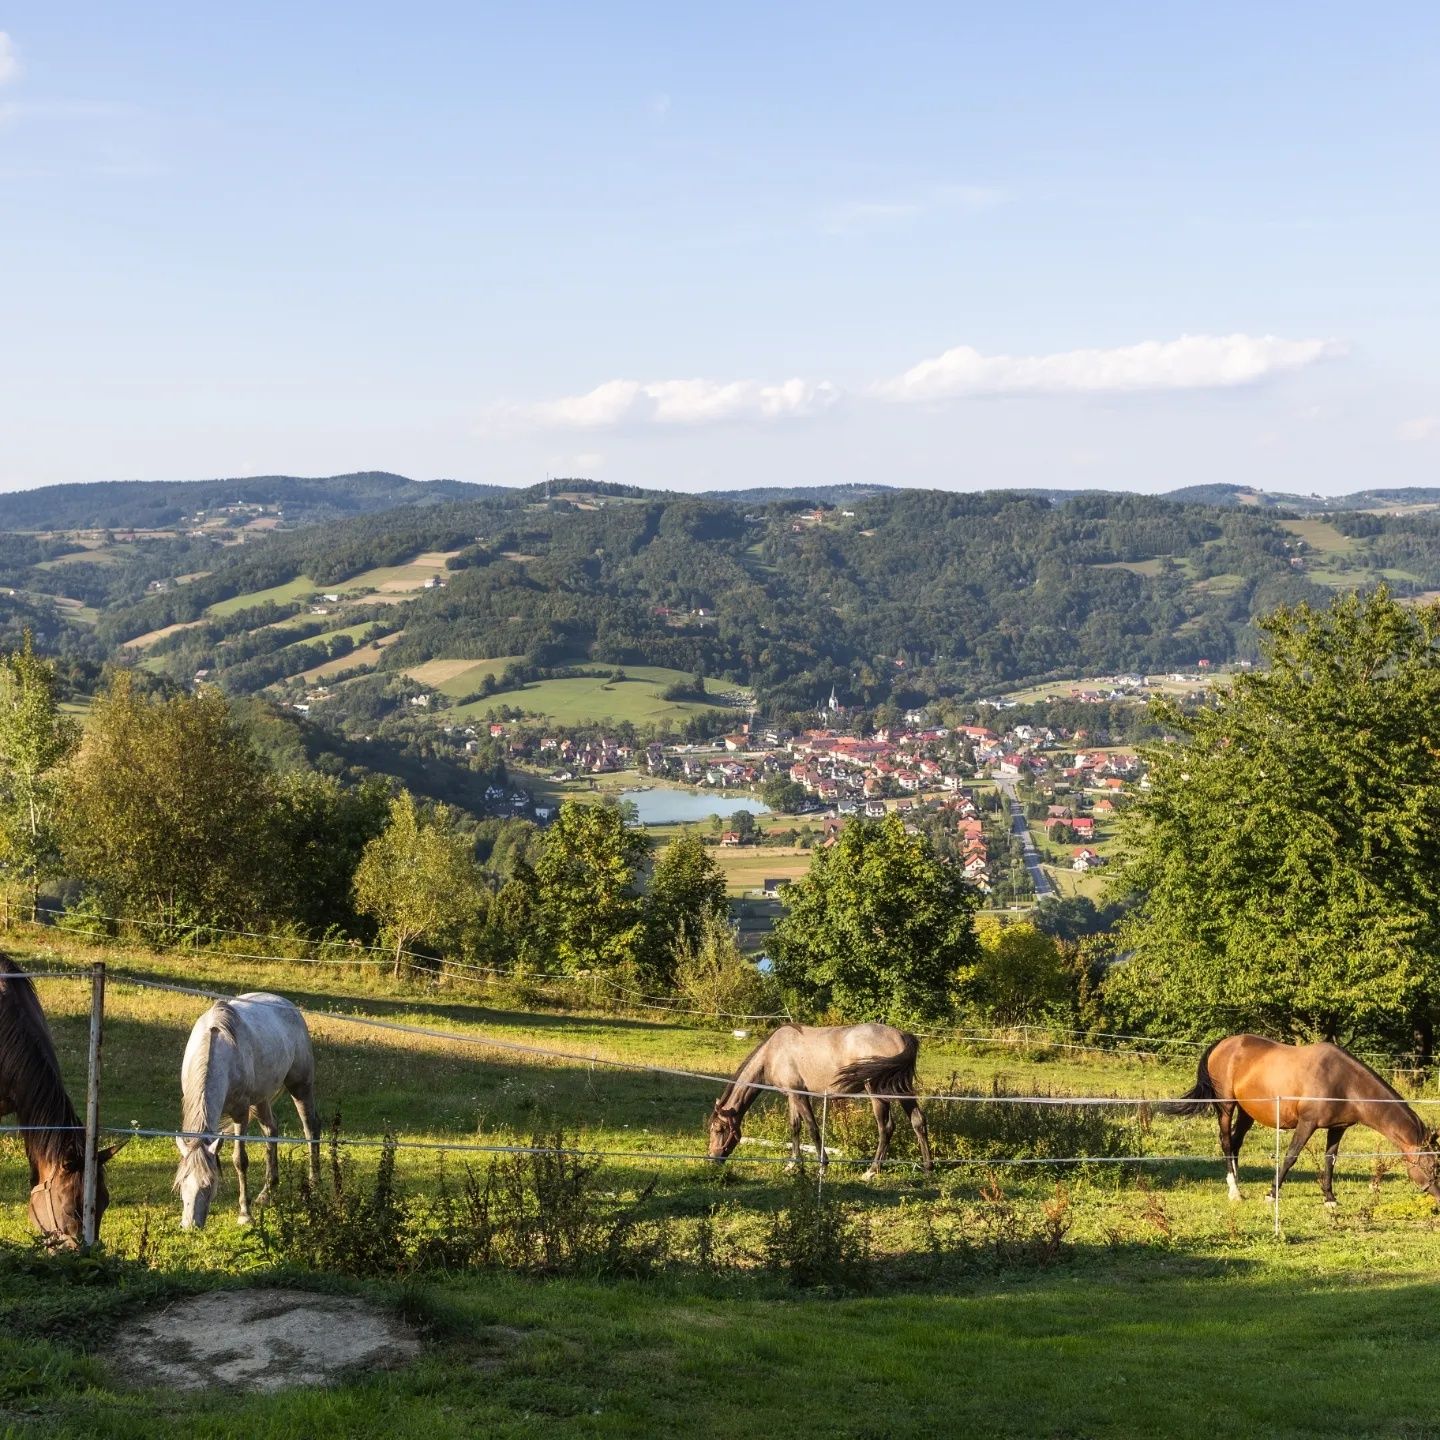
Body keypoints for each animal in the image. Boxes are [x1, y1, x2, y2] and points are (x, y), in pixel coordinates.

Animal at [173, 996, 321, 1232]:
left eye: (208, 1184)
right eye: (181, 1184)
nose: (189, 1225)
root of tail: (288, 1005)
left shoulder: (240, 1113)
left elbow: (239, 1160)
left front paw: (245, 1214)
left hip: (300, 1086)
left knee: (311, 1128)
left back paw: (314, 1183)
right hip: (261, 1099)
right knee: (271, 1130)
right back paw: (267, 1192)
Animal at [705, 1019, 933, 1175]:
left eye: (719, 1129)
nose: (712, 1159)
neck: (772, 1053)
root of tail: (903, 1036)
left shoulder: (800, 1095)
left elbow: (812, 1128)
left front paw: (823, 1165)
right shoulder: (792, 1095)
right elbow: (795, 1127)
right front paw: (793, 1164)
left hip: (877, 1092)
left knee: (885, 1128)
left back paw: (871, 1171)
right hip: (901, 1089)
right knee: (918, 1121)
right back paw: (928, 1167)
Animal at [1169, 1031, 1440, 1209]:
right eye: (1432, 1166)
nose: (1438, 1195)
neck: (1345, 1083)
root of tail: (1222, 1044)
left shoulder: (1337, 1128)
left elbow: (1330, 1160)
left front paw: (1330, 1199)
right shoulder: (1307, 1124)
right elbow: (1291, 1156)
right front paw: (1272, 1193)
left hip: (1248, 1112)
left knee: (1236, 1142)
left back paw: (1238, 1182)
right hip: (1226, 1106)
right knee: (1226, 1142)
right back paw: (1234, 1191)